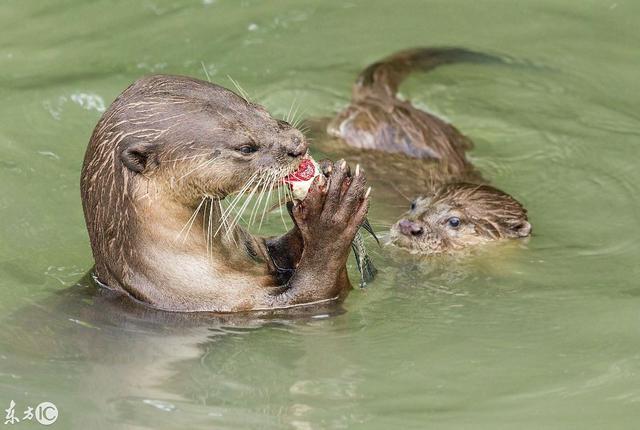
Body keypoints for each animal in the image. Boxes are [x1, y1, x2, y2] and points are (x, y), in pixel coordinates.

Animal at [80, 74, 370, 312]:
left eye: (262, 110)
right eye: (246, 148)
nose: (298, 144)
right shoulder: (235, 302)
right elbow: (317, 289)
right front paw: (330, 216)